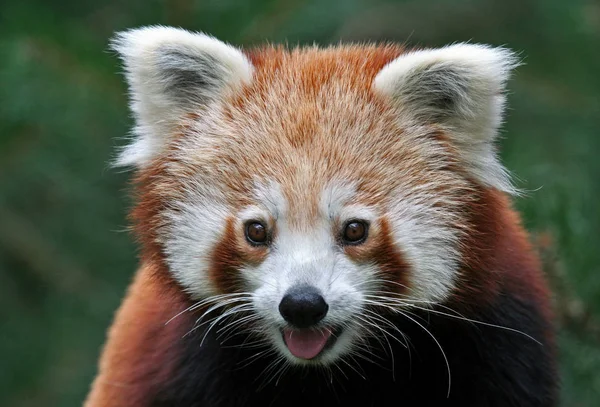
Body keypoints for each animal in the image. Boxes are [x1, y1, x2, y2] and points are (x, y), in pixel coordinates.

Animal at [84, 26, 556, 407]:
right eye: (256, 230)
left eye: (355, 230)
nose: (302, 305)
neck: (324, 376)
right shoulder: (175, 364)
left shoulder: (498, 344)